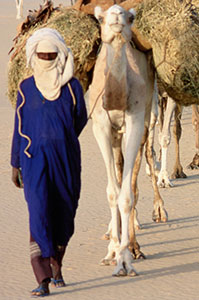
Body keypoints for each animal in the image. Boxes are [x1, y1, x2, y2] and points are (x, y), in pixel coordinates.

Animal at [88, 4, 167, 276]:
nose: (116, 16)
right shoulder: (100, 124)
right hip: (114, 133)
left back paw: (136, 243)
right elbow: (112, 192)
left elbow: (126, 195)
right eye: (101, 18)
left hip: (147, 117)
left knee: (136, 172)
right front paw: (112, 252)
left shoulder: (135, 119)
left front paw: (124, 260)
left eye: (130, 17)